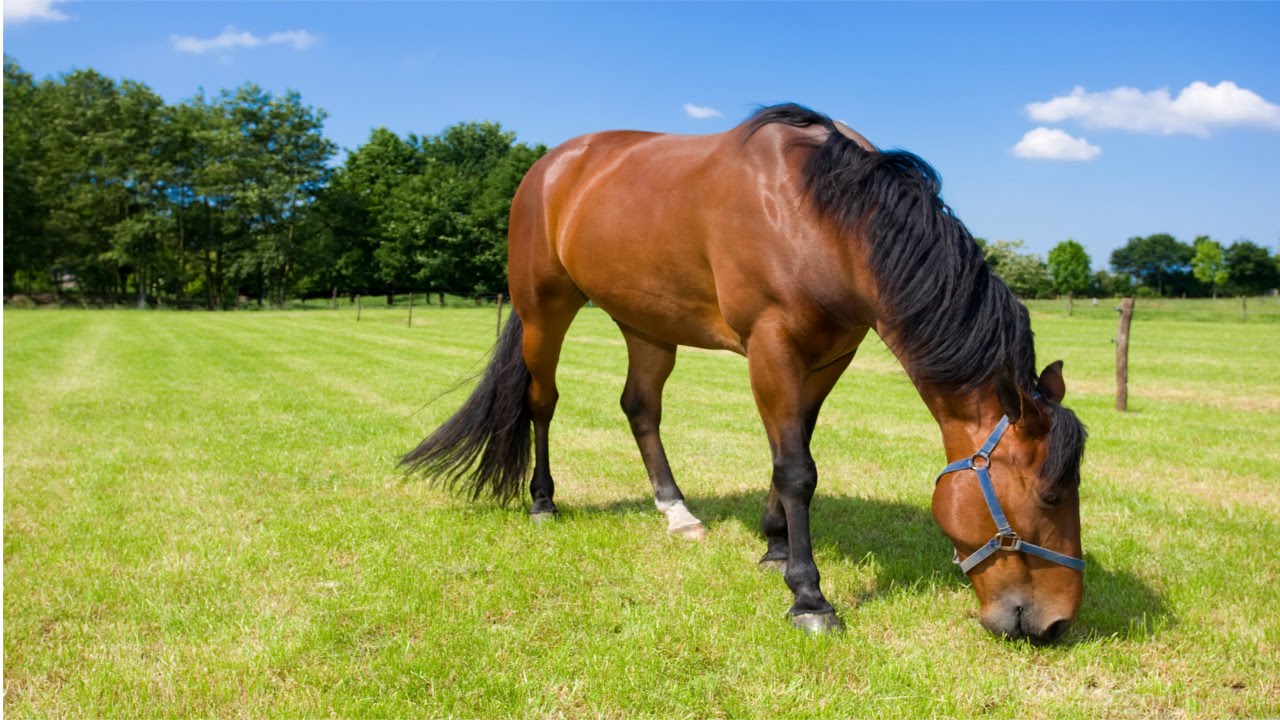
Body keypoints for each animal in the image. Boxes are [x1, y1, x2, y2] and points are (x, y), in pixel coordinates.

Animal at [403, 104, 1087, 642]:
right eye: (1050, 494)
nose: (1056, 623)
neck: (822, 213)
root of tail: (548, 167)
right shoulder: (772, 346)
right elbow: (797, 468)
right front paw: (808, 598)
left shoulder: (830, 357)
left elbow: (792, 451)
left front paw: (776, 547)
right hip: (544, 311)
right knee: (542, 401)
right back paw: (543, 502)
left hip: (647, 326)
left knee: (640, 407)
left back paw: (677, 512)